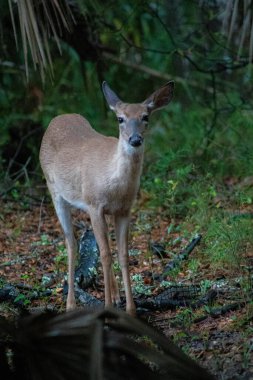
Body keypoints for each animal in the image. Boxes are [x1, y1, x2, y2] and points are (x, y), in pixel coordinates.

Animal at [39, 80, 174, 314]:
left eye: (145, 117)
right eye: (120, 118)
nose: (135, 139)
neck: (114, 183)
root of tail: (58, 118)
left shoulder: (124, 210)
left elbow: (123, 255)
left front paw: (130, 309)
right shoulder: (95, 205)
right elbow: (103, 254)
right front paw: (107, 306)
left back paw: (116, 296)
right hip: (55, 191)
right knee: (71, 242)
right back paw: (71, 304)